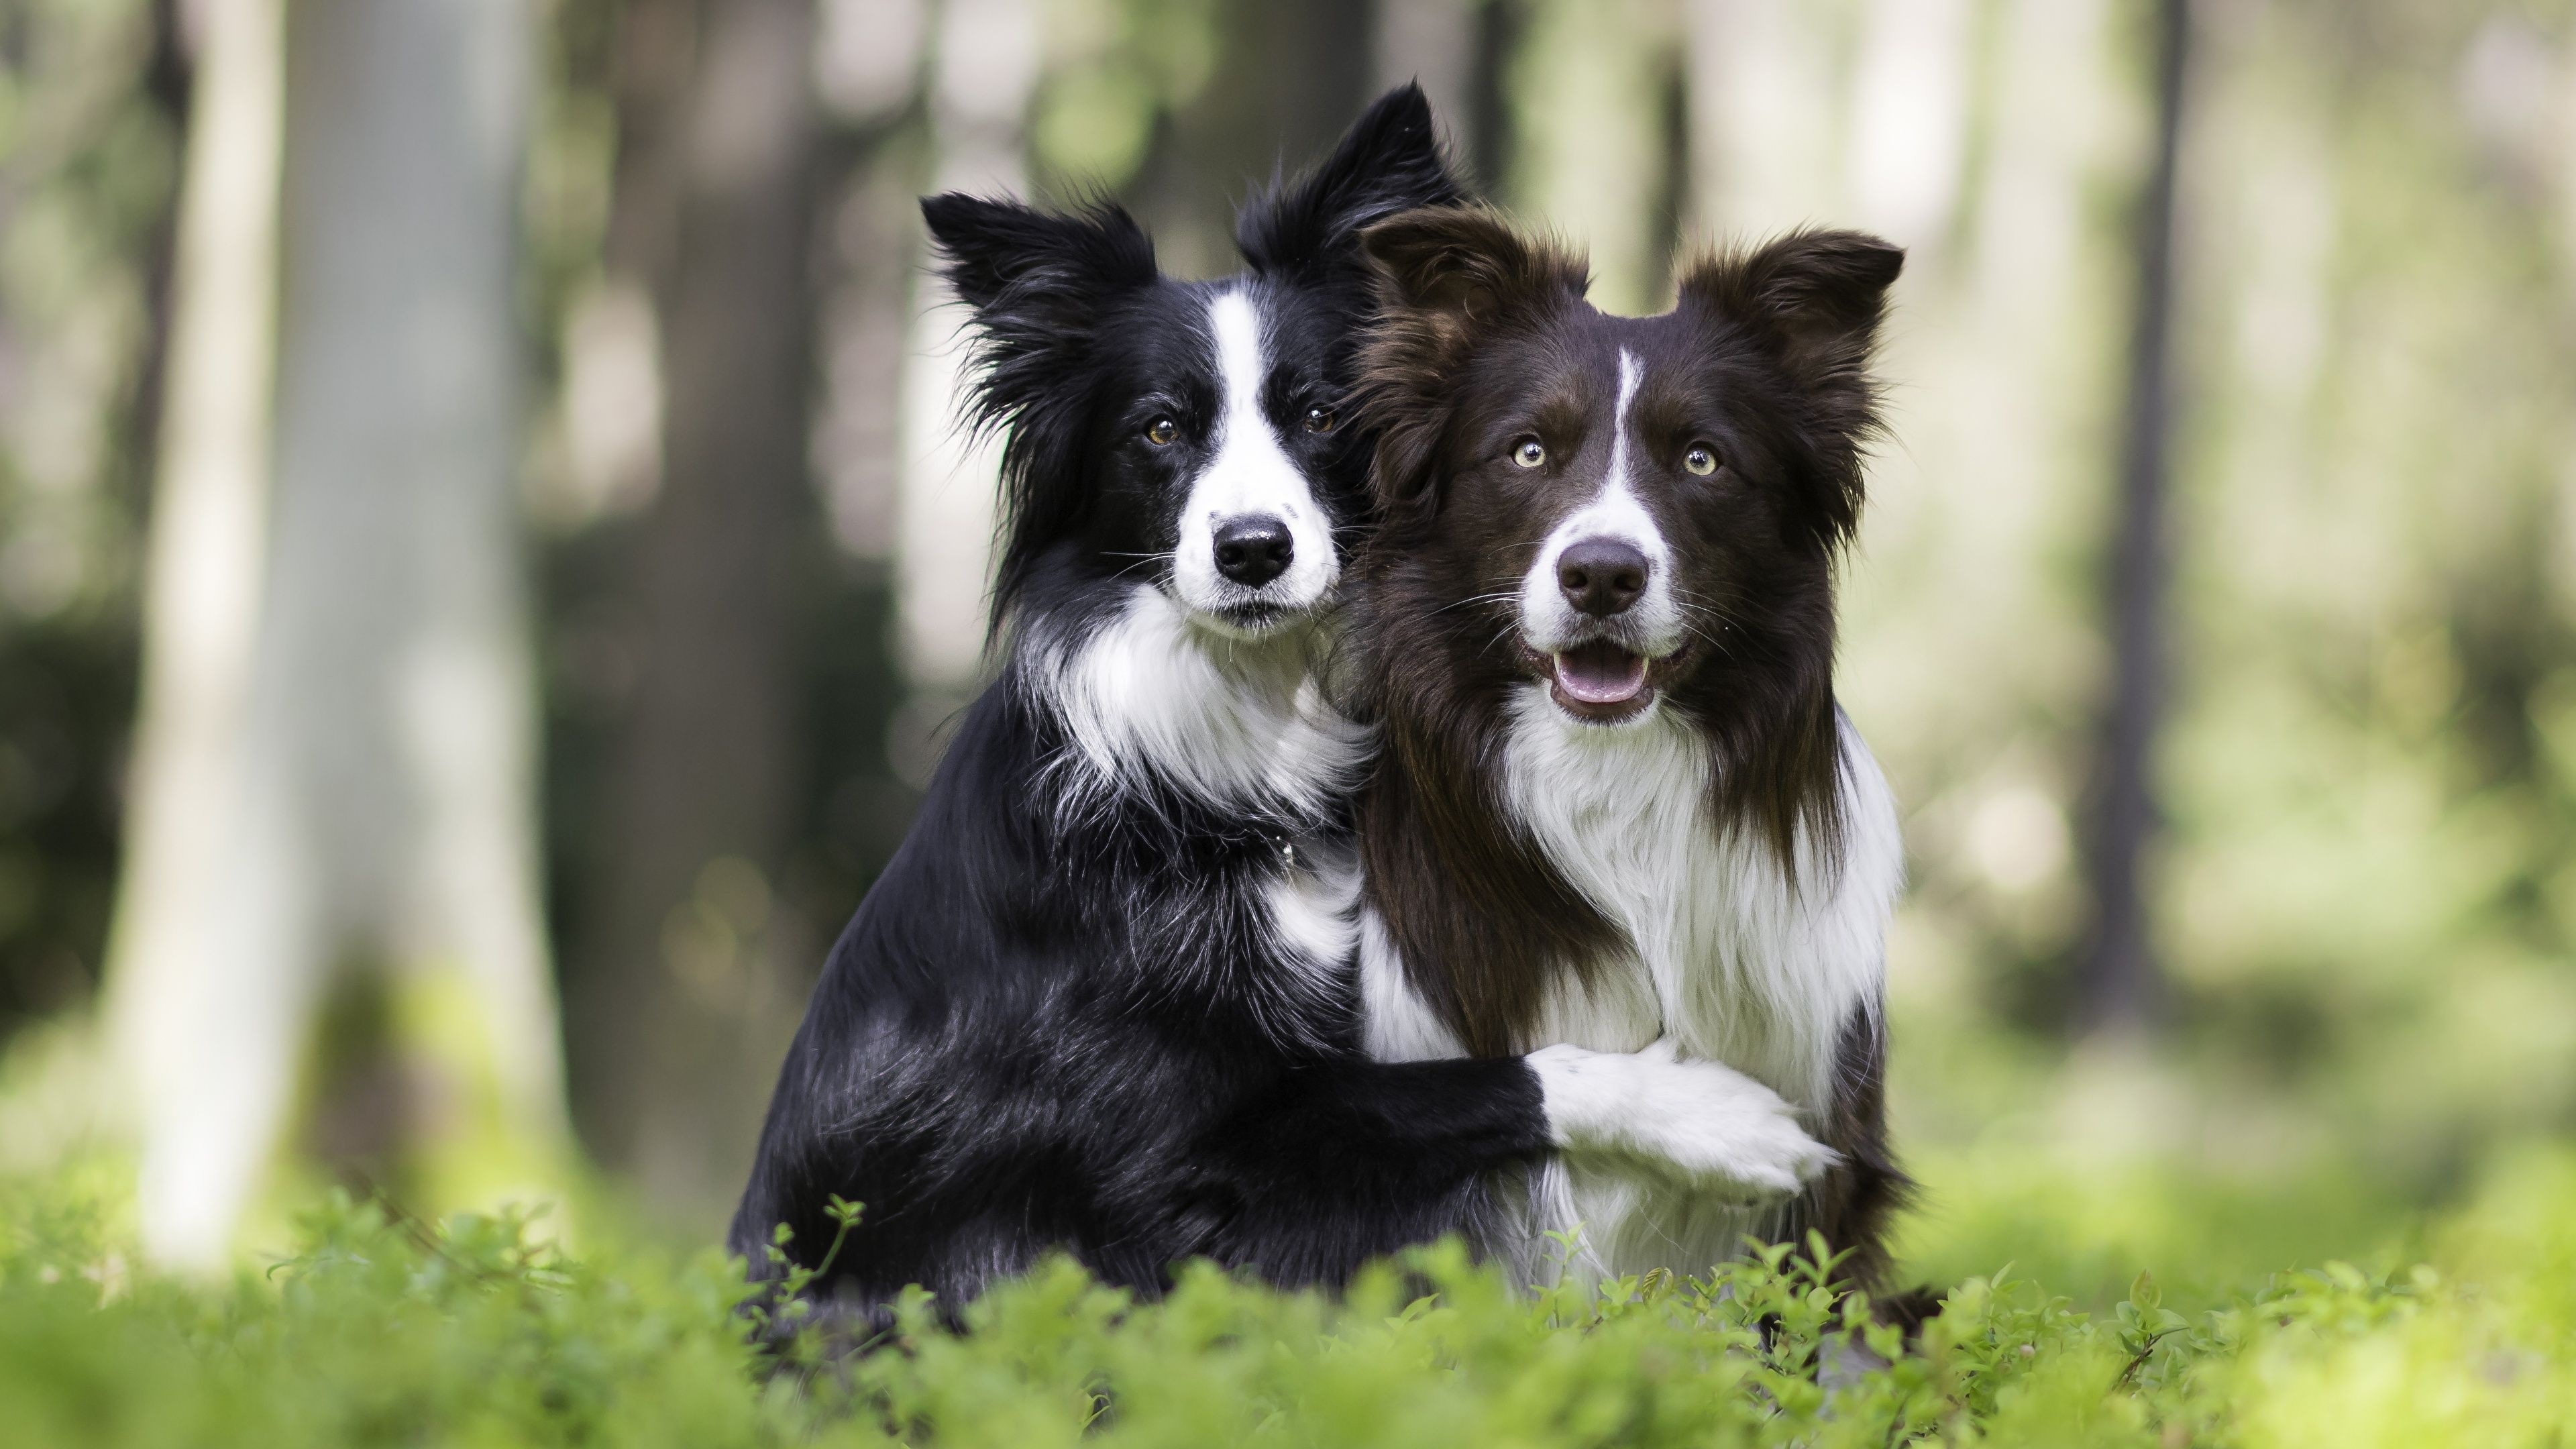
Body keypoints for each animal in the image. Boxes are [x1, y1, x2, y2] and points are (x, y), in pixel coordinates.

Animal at [726, 93, 1834, 1320]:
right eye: (1161, 430)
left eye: (1321, 415)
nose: (1252, 549)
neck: (1232, 748)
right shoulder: (1177, 1154)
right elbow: (1489, 1079)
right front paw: (1718, 1118)